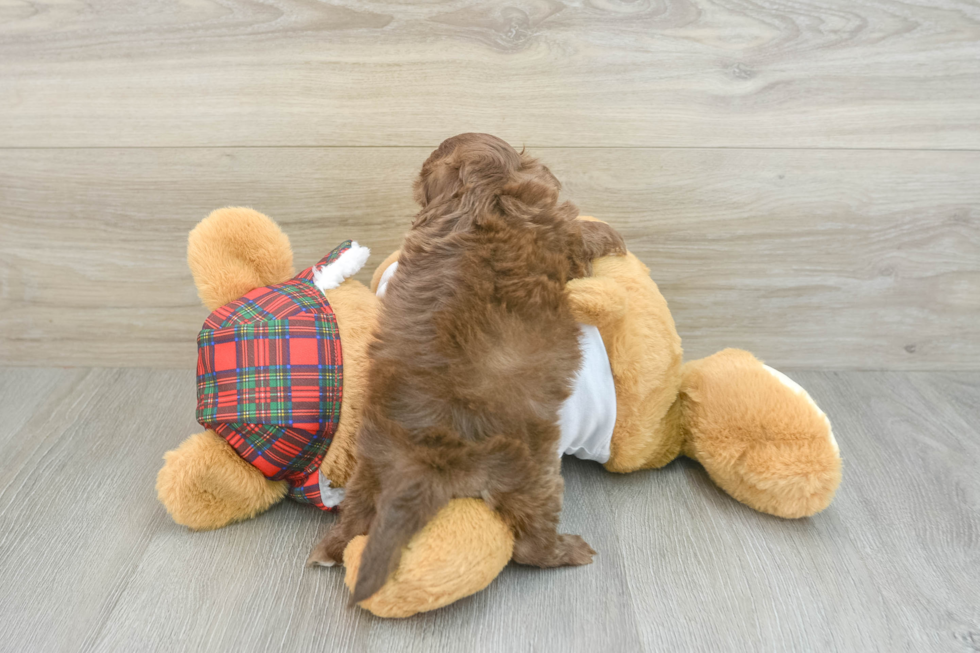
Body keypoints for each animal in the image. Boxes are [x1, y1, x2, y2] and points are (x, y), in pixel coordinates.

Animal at [310, 131, 624, 600]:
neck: (479, 194)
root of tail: (425, 458)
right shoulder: (558, 231)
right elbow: (582, 235)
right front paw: (609, 234)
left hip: (370, 471)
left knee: (354, 521)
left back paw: (329, 550)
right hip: (531, 474)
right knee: (530, 545)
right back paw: (570, 550)